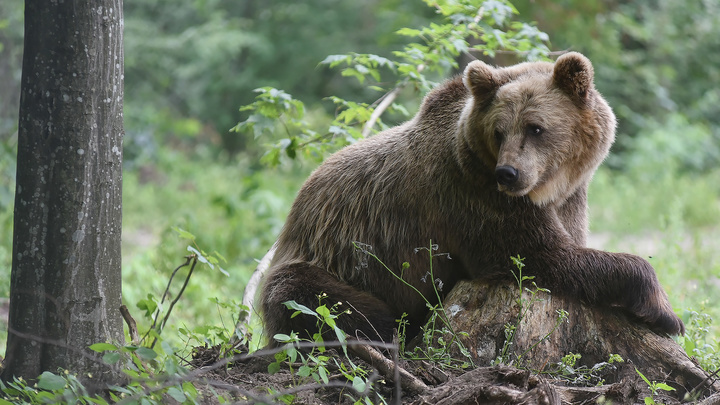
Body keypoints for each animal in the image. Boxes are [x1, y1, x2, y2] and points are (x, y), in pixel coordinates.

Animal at [260, 51, 688, 344]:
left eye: (535, 128)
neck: (546, 189)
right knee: (318, 302)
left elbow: (565, 246)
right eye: (499, 131)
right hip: (325, 259)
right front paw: (665, 312)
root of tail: (294, 212)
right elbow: (541, 257)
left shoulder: (569, 199)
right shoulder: (474, 197)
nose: (507, 173)